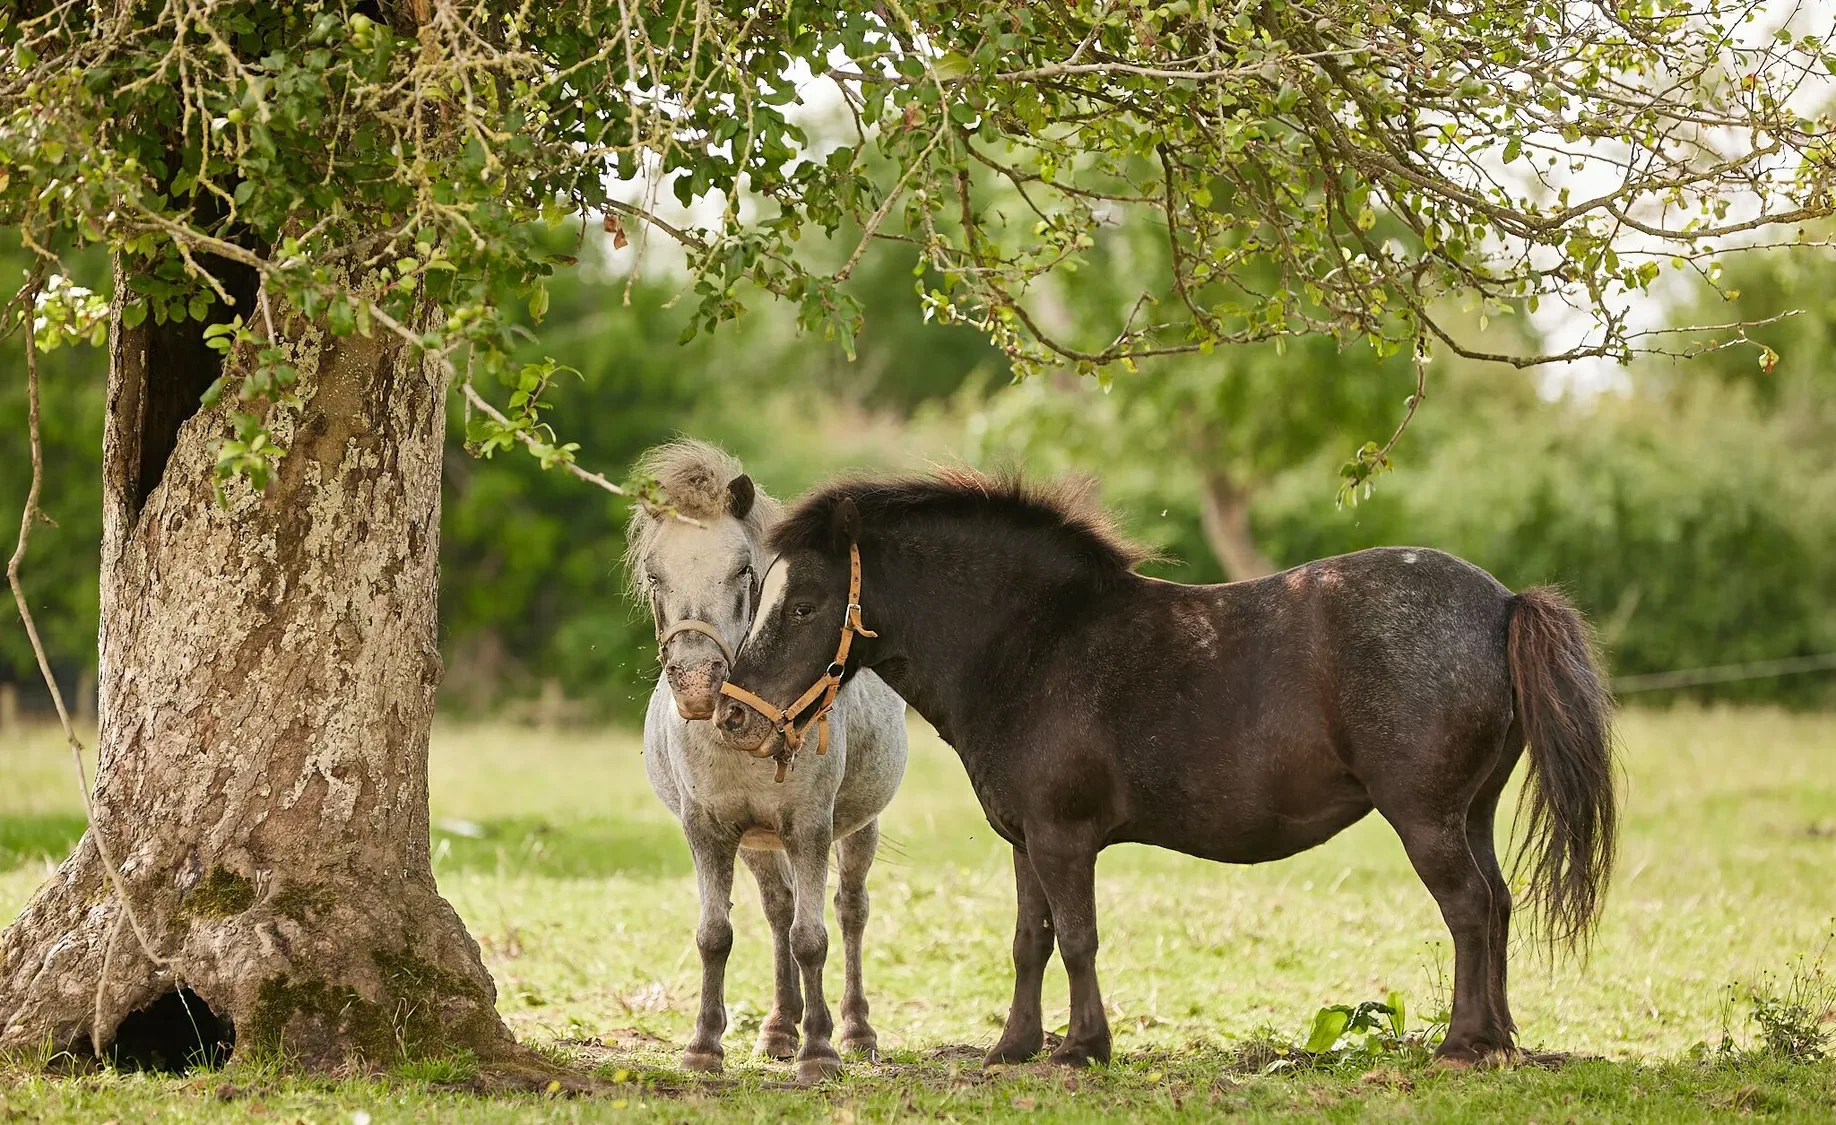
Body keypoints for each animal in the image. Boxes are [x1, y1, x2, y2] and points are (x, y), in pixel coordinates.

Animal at [626, 441, 909, 1082]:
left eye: (741, 572)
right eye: (654, 574)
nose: (698, 684)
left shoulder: (809, 826)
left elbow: (814, 938)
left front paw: (821, 1051)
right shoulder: (709, 829)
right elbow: (716, 934)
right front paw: (704, 1045)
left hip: (858, 828)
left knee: (850, 911)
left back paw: (855, 1030)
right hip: (757, 842)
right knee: (778, 910)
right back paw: (780, 1027)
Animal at [715, 470, 1617, 1069]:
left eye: (805, 603)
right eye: (762, 593)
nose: (732, 716)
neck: (1033, 640)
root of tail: (1503, 602)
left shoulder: (1064, 836)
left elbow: (1078, 937)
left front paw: (1082, 1047)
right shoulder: (1026, 841)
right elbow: (1031, 939)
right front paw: (1014, 1045)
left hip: (1426, 817)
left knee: (1468, 907)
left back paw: (1463, 1043)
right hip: (1471, 812)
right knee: (1498, 902)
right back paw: (1501, 1037)